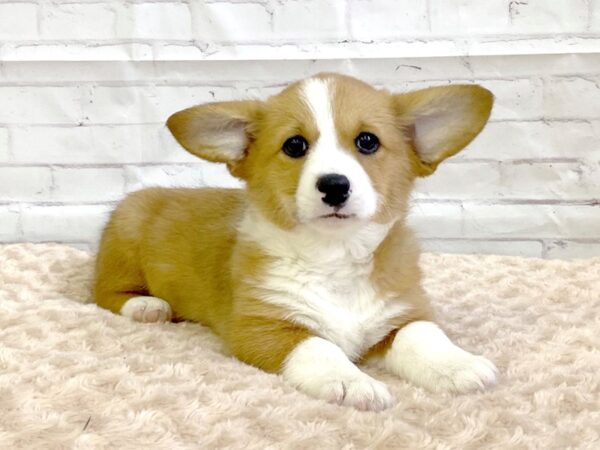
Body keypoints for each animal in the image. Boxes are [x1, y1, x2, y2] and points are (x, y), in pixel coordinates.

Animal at [94, 71, 496, 412]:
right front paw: (351, 381)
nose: (334, 185)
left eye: (367, 141)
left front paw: (458, 365)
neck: (334, 256)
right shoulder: (261, 327)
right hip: (125, 235)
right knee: (104, 291)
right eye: (295, 145)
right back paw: (147, 306)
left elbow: (423, 335)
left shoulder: (402, 312)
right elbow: (317, 347)